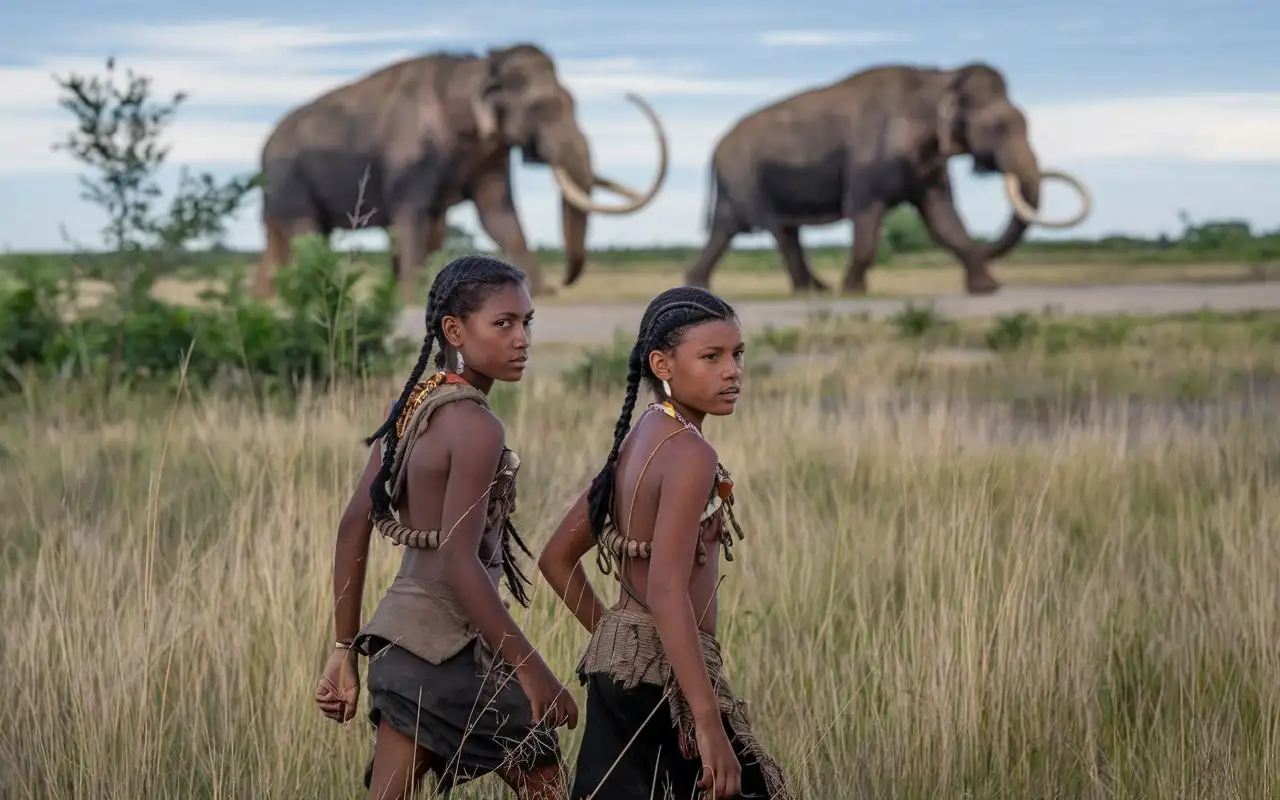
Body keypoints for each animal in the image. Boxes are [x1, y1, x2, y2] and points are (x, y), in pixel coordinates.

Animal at [249, 41, 670, 296]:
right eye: (540, 107)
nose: (563, 284)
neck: (480, 68)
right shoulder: (409, 156)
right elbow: (413, 216)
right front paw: (410, 293)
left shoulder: (491, 152)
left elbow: (497, 215)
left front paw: (540, 290)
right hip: (288, 181)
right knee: (306, 233)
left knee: (283, 241)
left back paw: (267, 299)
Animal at [686, 61, 1095, 293]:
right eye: (998, 127)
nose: (988, 251)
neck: (939, 80)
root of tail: (716, 147)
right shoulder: (866, 164)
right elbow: (865, 215)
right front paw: (852, 291)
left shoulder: (929, 165)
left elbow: (942, 218)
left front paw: (988, 289)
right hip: (743, 177)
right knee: (767, 229)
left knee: (752, 230)